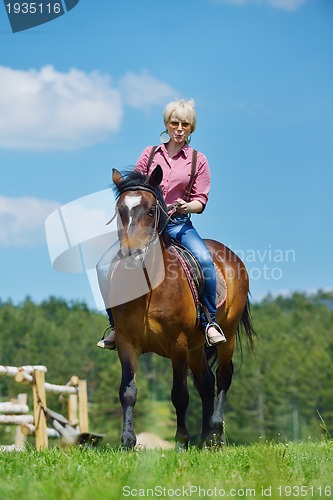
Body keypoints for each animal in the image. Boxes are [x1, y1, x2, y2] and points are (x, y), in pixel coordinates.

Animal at [108, 165, 254, 450]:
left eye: (150, 210)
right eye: (120, 210)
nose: (132, 256)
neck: (149, 289)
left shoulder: (178, 344)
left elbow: (179, 395)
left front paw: (181, 441)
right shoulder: (126, 342)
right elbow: (127, 392)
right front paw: (128, 442)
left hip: (226, 334)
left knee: (223, 377)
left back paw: (215, 435)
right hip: (197, 347)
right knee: (206, 383)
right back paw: (205, 437)